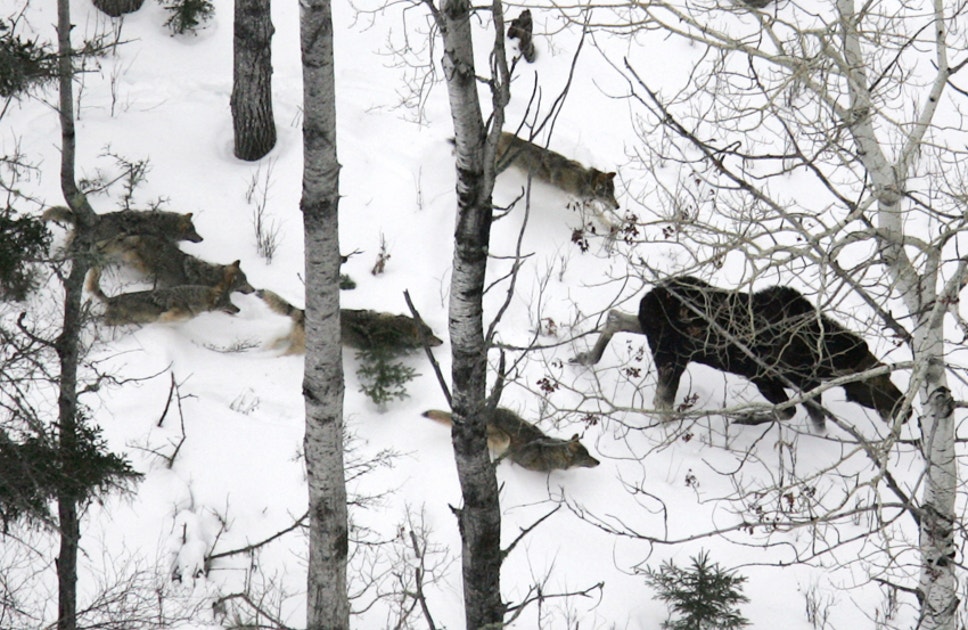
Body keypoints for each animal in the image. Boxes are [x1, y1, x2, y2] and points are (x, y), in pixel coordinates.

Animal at [257, 289, 444, 354]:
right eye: (430, 334)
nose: (442, 341)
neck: (397, 330)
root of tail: (302, 311)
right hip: (300, 348)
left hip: (294, 340)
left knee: (278, 341)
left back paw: (265, 350)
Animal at [572, 276, 908, 430]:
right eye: (873, 382)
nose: (905, 410)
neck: (822, 358)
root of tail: (649, 296)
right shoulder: (764, 377)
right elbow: (789, 413)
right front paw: (746, 417)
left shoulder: (806, 387)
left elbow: (815, 422)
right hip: (671, 356)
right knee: (661, 402)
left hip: (660, 338)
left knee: (615, 316)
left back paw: (585, 357)